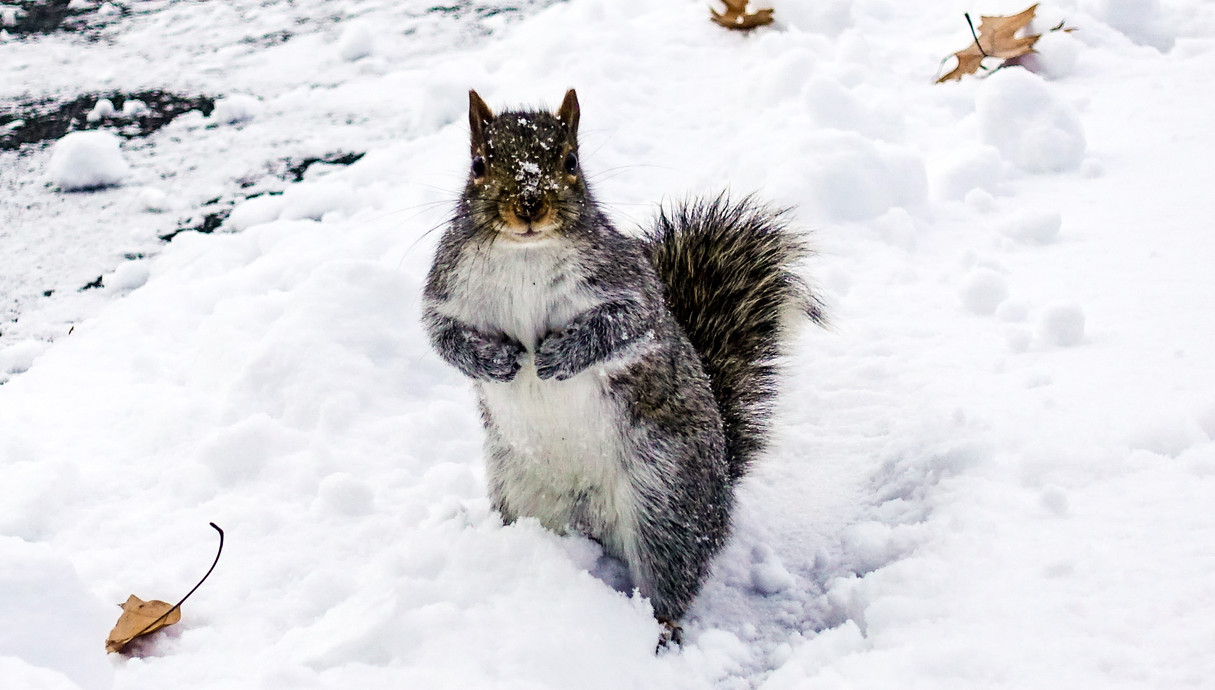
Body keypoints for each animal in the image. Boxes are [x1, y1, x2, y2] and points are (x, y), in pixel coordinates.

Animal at [420, 88, 826, 646]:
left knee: (672, 575)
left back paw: (660, 632)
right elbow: (443, 336)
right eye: (479, 164)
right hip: (524, 496)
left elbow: (622, 325)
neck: (525, 256)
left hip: (666, 498)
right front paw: (495, 360)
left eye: (571, 161)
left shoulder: (630, 286)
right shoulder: (445, 290)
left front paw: (559, 355)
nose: (529, 206)